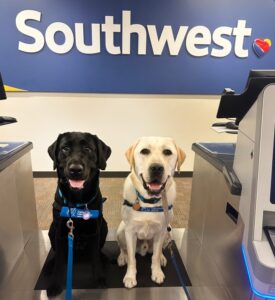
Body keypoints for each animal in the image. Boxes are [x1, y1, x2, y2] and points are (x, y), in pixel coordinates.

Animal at [46, 132, 112, 298]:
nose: (75, 169)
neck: (77, 202)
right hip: (51, 229)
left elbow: (95, 257)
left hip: (104, 226)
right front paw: (54, 284)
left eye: (88, 149)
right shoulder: (60, 231)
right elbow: (59, 262)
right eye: (65, 148)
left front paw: (99, 278)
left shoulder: (95, 230)